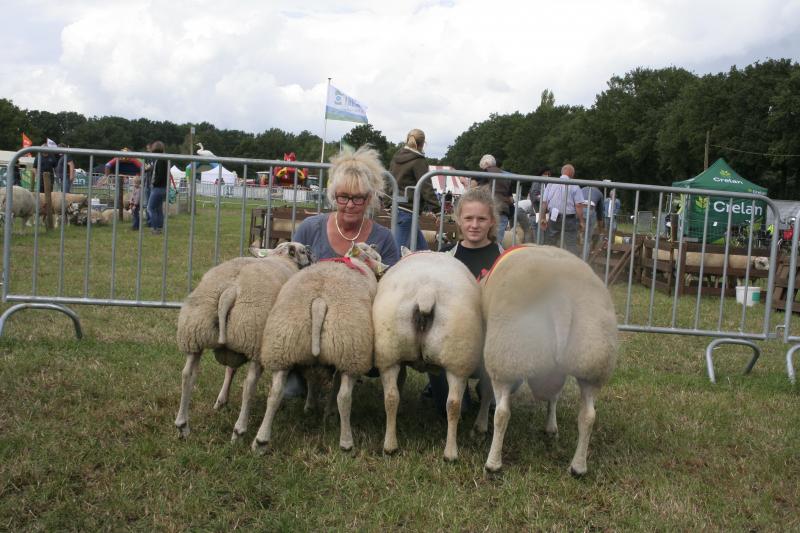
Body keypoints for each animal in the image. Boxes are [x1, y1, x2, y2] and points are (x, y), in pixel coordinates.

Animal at [173, 243, 310, 438]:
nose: (311, 251)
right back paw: (239, 429)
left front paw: (221, 401)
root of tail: (230, 291)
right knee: (249, 385)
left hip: (195, 333)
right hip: (254, 339)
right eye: (304, 251)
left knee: (188, 375)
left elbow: (230, 369)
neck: (281, 257)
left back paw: (183, 425)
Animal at [252, 241, 386, 454]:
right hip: (350, 350)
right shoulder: (340, 357)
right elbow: (334, 388)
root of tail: (319, 301)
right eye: (374, 255)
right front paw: (328, 412)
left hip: (283, 345)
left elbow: (312, 380)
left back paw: (261, 441)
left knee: (275, 394)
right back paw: (346, 443)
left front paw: (310, 406)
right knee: (344, 397)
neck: (354, 261)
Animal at [374, 251, 482, 460]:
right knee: (453, 404)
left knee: (390, 397)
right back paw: (450, 453)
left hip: (389, 351)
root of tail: (426, 292)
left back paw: (390, 446)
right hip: (458, 361)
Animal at [478, 244, 616, 474]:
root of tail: (560, 299)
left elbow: (486, 392)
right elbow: (554, 398)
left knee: (502, 413)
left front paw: (480, 424)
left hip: (506, 354)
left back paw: (492, 463)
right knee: (588, 416)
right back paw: (578, 467)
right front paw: (551, 427)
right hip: (593, 359)